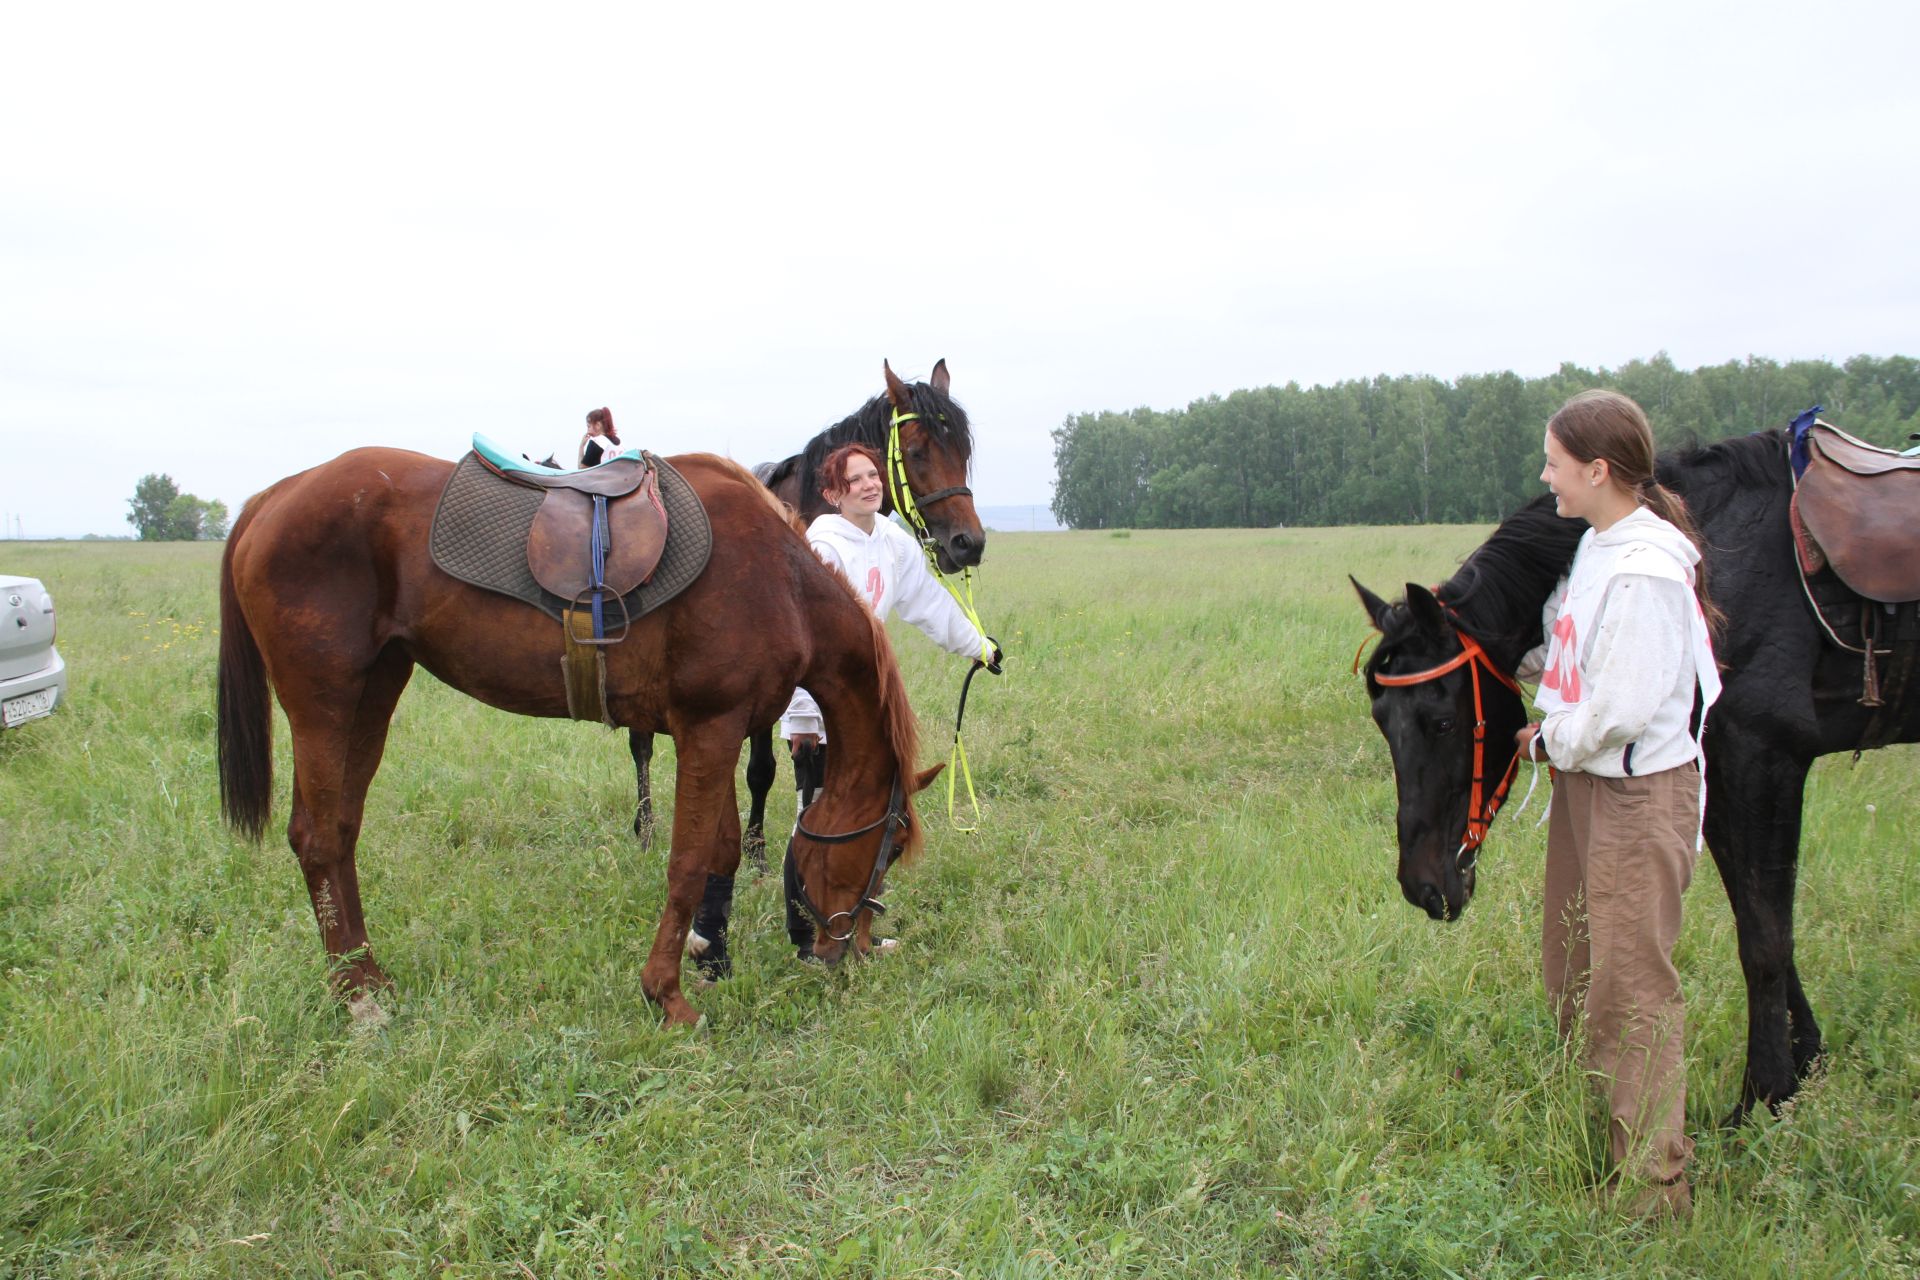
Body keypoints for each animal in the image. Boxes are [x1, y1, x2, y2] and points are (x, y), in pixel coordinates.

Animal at [629, 355, 990, 867]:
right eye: (918, 451)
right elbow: (764, 766)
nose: (969, 543)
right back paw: (644, 829)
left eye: (963, 450)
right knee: (640, 743)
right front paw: (757, 854)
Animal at [1351, 427, 1920, 1120]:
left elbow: (1764, 939)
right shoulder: (1718, 769)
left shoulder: (1762, 757)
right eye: (1382, 720)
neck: (1712, 558)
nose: (1424, 887)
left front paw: (1762, 1097)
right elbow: (1757, 919)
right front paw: (1803, 1064)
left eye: (1440, 722)